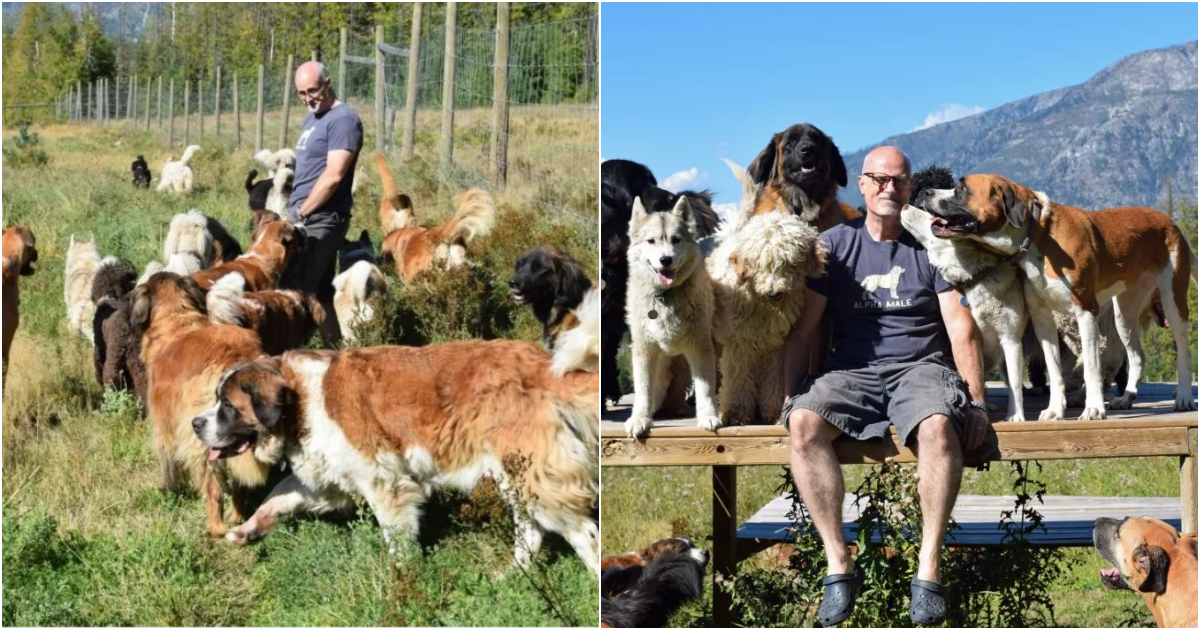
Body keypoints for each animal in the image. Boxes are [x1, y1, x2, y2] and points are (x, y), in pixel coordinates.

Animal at [129, 271, 274, 535]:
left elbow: (167, 461)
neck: (177, 318)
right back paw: (236, 516)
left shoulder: (164, 425)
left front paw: (169, 491)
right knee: (239, 483)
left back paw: (215, 528)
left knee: (213, 488)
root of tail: (235, 361)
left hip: (203, 437)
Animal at [192, 338, 600, 573]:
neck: (299, 400)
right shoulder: (325, 477)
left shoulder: (382, 481)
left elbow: (395, 537)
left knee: (582, 532)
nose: (196, 423)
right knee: (531, 528)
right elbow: (278, 496)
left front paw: (401, 581)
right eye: (217, 400)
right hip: (516, 474)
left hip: (529, 472)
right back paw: (513, 575)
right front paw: (247, 530)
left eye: (227, 406)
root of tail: (542, 364)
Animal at [624, 193, 715, 436]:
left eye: (676, 240)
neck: (664, 297)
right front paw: (640, 418)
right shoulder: (644, 349)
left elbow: (705, 388)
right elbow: (643, 389)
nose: (665, 260)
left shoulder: (700, 347)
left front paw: (709, 416)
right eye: (651, 241)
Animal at [912, 172, 1195, 417]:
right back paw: (1126, 398)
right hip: (1123, 315)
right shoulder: (1042, 318)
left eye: (961, 188)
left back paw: (1183, 397)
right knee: (1135, 355)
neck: (1037, 235)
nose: (926, 192)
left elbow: (1091, 365)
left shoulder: (1085, 312)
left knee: (1183, 350)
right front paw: (1055, 410)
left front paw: (1093, 409)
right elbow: (1054, 368)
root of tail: (1169, 221)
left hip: (1173, 303)